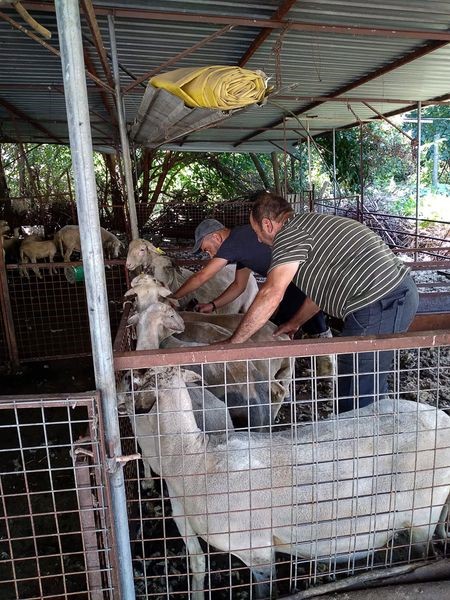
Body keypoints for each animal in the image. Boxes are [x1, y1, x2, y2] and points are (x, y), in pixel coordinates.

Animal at [134, 366, 450, 600]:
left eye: (143, 382)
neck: (195, 459)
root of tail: (442, 417)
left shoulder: (257, 549)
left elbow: (265, 590)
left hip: (423, 510)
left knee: (422, 551)